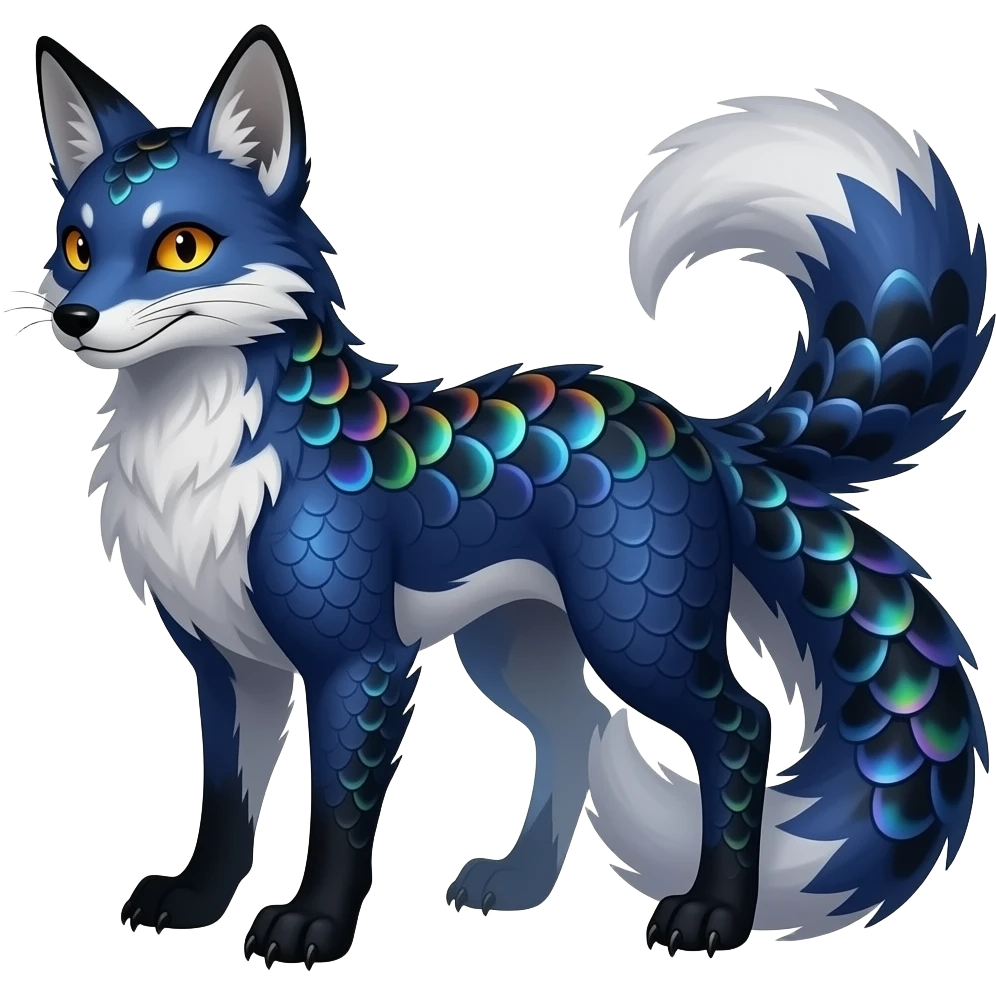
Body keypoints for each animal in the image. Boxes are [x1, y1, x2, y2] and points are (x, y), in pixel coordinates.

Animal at [17, 25, 991, 969]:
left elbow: (338, 815)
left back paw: (714, 913)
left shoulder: (357, 660)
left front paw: (313, 927)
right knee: (577, 726)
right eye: (77, 247)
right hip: (515, 647)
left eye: (181, 246)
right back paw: (523, 885)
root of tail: (690, 426)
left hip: (637, 635)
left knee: (739, 729)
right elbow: (225, 805)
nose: (72, 318)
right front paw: (196, 904)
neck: (200, 468)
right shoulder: (226, 664)